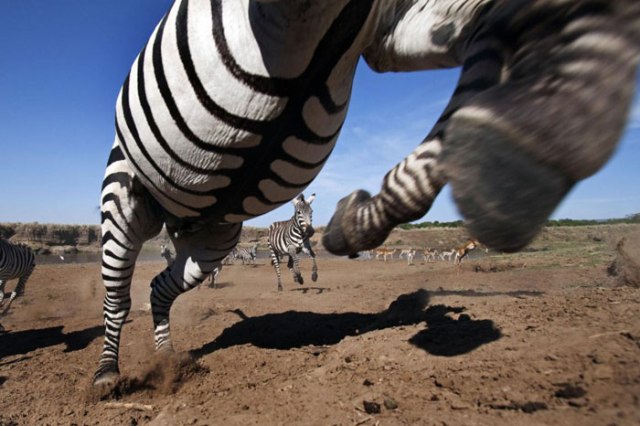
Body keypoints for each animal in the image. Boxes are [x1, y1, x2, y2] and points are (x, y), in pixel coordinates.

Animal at [92, 0, 640, 390]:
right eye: (297, 207)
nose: (313, 224)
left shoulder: (395, 25)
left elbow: (493, 21)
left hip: (209, 240)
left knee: (160, 288)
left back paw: (169, 362)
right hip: (125, 199)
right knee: (119, 295)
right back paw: (107, 374)